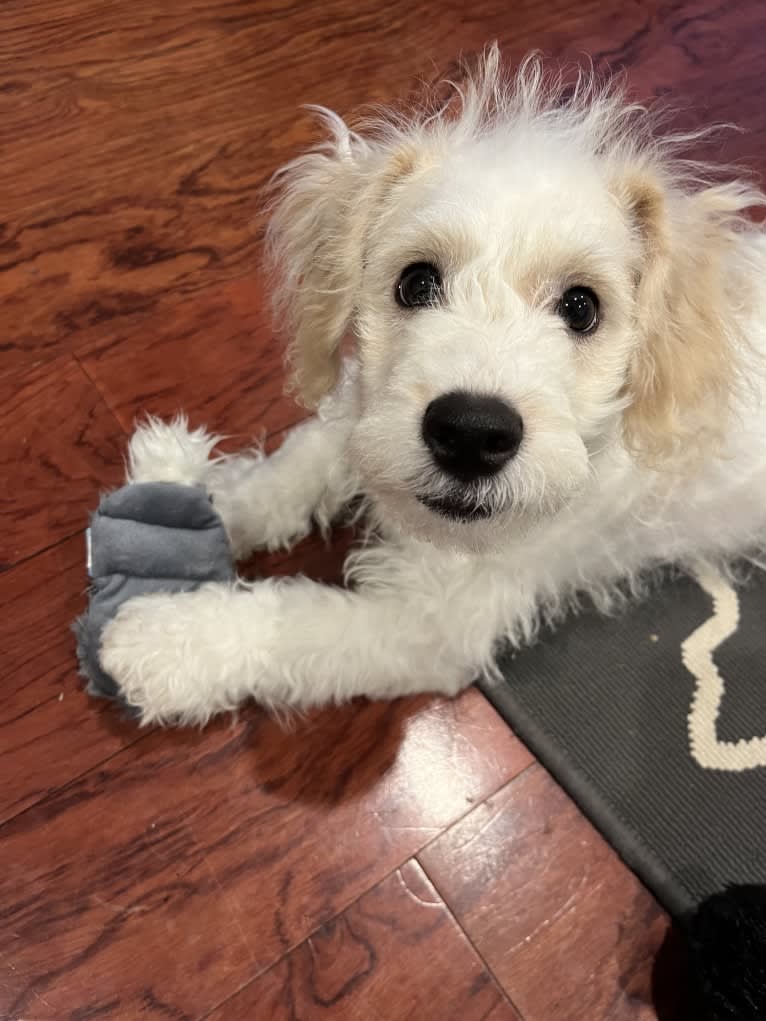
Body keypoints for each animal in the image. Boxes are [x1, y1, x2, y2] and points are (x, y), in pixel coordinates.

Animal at [99, 49, 766, 726]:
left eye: (583, 307)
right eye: (416, 282)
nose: (471, 432)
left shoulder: (429, 625)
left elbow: (297, 623)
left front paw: (168, 643)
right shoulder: (365, 414)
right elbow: (294, 465)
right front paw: (200, 497)